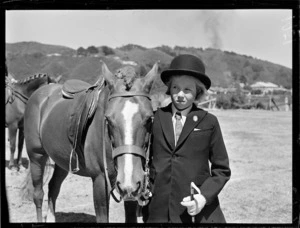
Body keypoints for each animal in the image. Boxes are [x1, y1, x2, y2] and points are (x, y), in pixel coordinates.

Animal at [23, 61, 158, 223]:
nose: (128, 180)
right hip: (36, 156)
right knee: (38, 194)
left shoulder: (131, 190)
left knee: (53, 188)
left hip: (63, 162)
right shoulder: (100, 181)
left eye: (149, 118)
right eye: (108, 119)